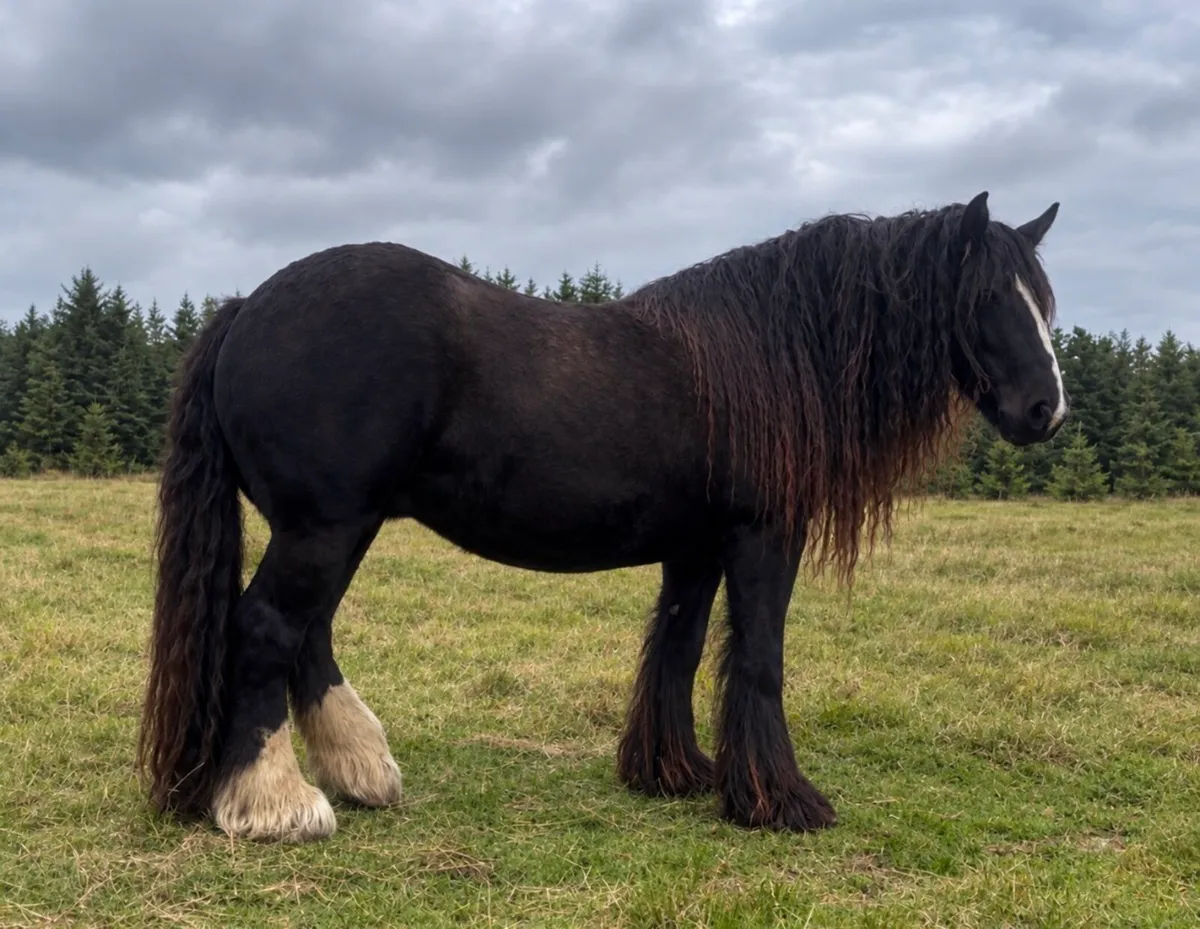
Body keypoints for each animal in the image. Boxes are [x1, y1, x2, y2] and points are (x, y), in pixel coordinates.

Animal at [135, 190, 1067, 843]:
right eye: (988, 296)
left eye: (1042, 299)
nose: (1046, 409)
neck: (765, 355)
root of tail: (245, 308)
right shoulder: (762, 535)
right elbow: (759, 657)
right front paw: (781, 800)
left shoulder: (695, 546)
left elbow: (679, 648)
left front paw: (674, 772)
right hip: (322, 527)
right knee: (266, 629)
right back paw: (275, 804)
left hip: (339, 527)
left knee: (310, 634)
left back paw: (360, 772)